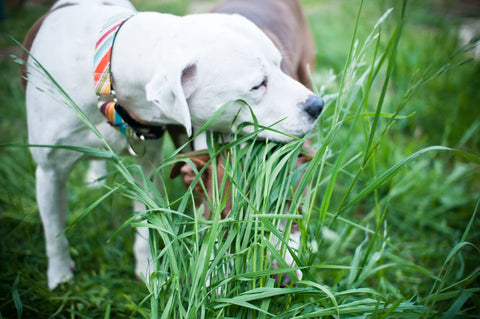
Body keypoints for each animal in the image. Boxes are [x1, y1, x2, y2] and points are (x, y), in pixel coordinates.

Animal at [22, 0, 322, 290]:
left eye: (279, 65)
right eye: (257, 86)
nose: (316, 105)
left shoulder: (151, 164)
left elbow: (147, 223)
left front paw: (151, 273)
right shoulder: (49, 171)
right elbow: (54, 229)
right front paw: (60, 276)